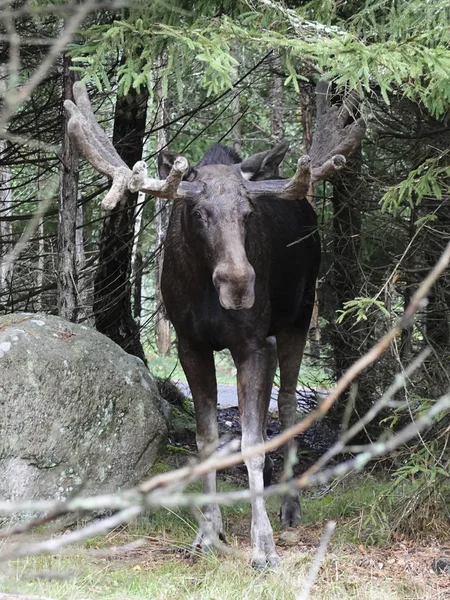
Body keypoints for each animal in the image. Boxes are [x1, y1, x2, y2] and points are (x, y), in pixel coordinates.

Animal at [64, 83, 366, 568]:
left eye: (248, 213)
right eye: (199, 212)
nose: (239, 283)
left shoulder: (251, 342)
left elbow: (250, 443)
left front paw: (263, 546)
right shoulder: (190, 344)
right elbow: (206, 441)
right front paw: (208, 533)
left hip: (299, 316)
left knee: (286, 404)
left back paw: (290, 504)